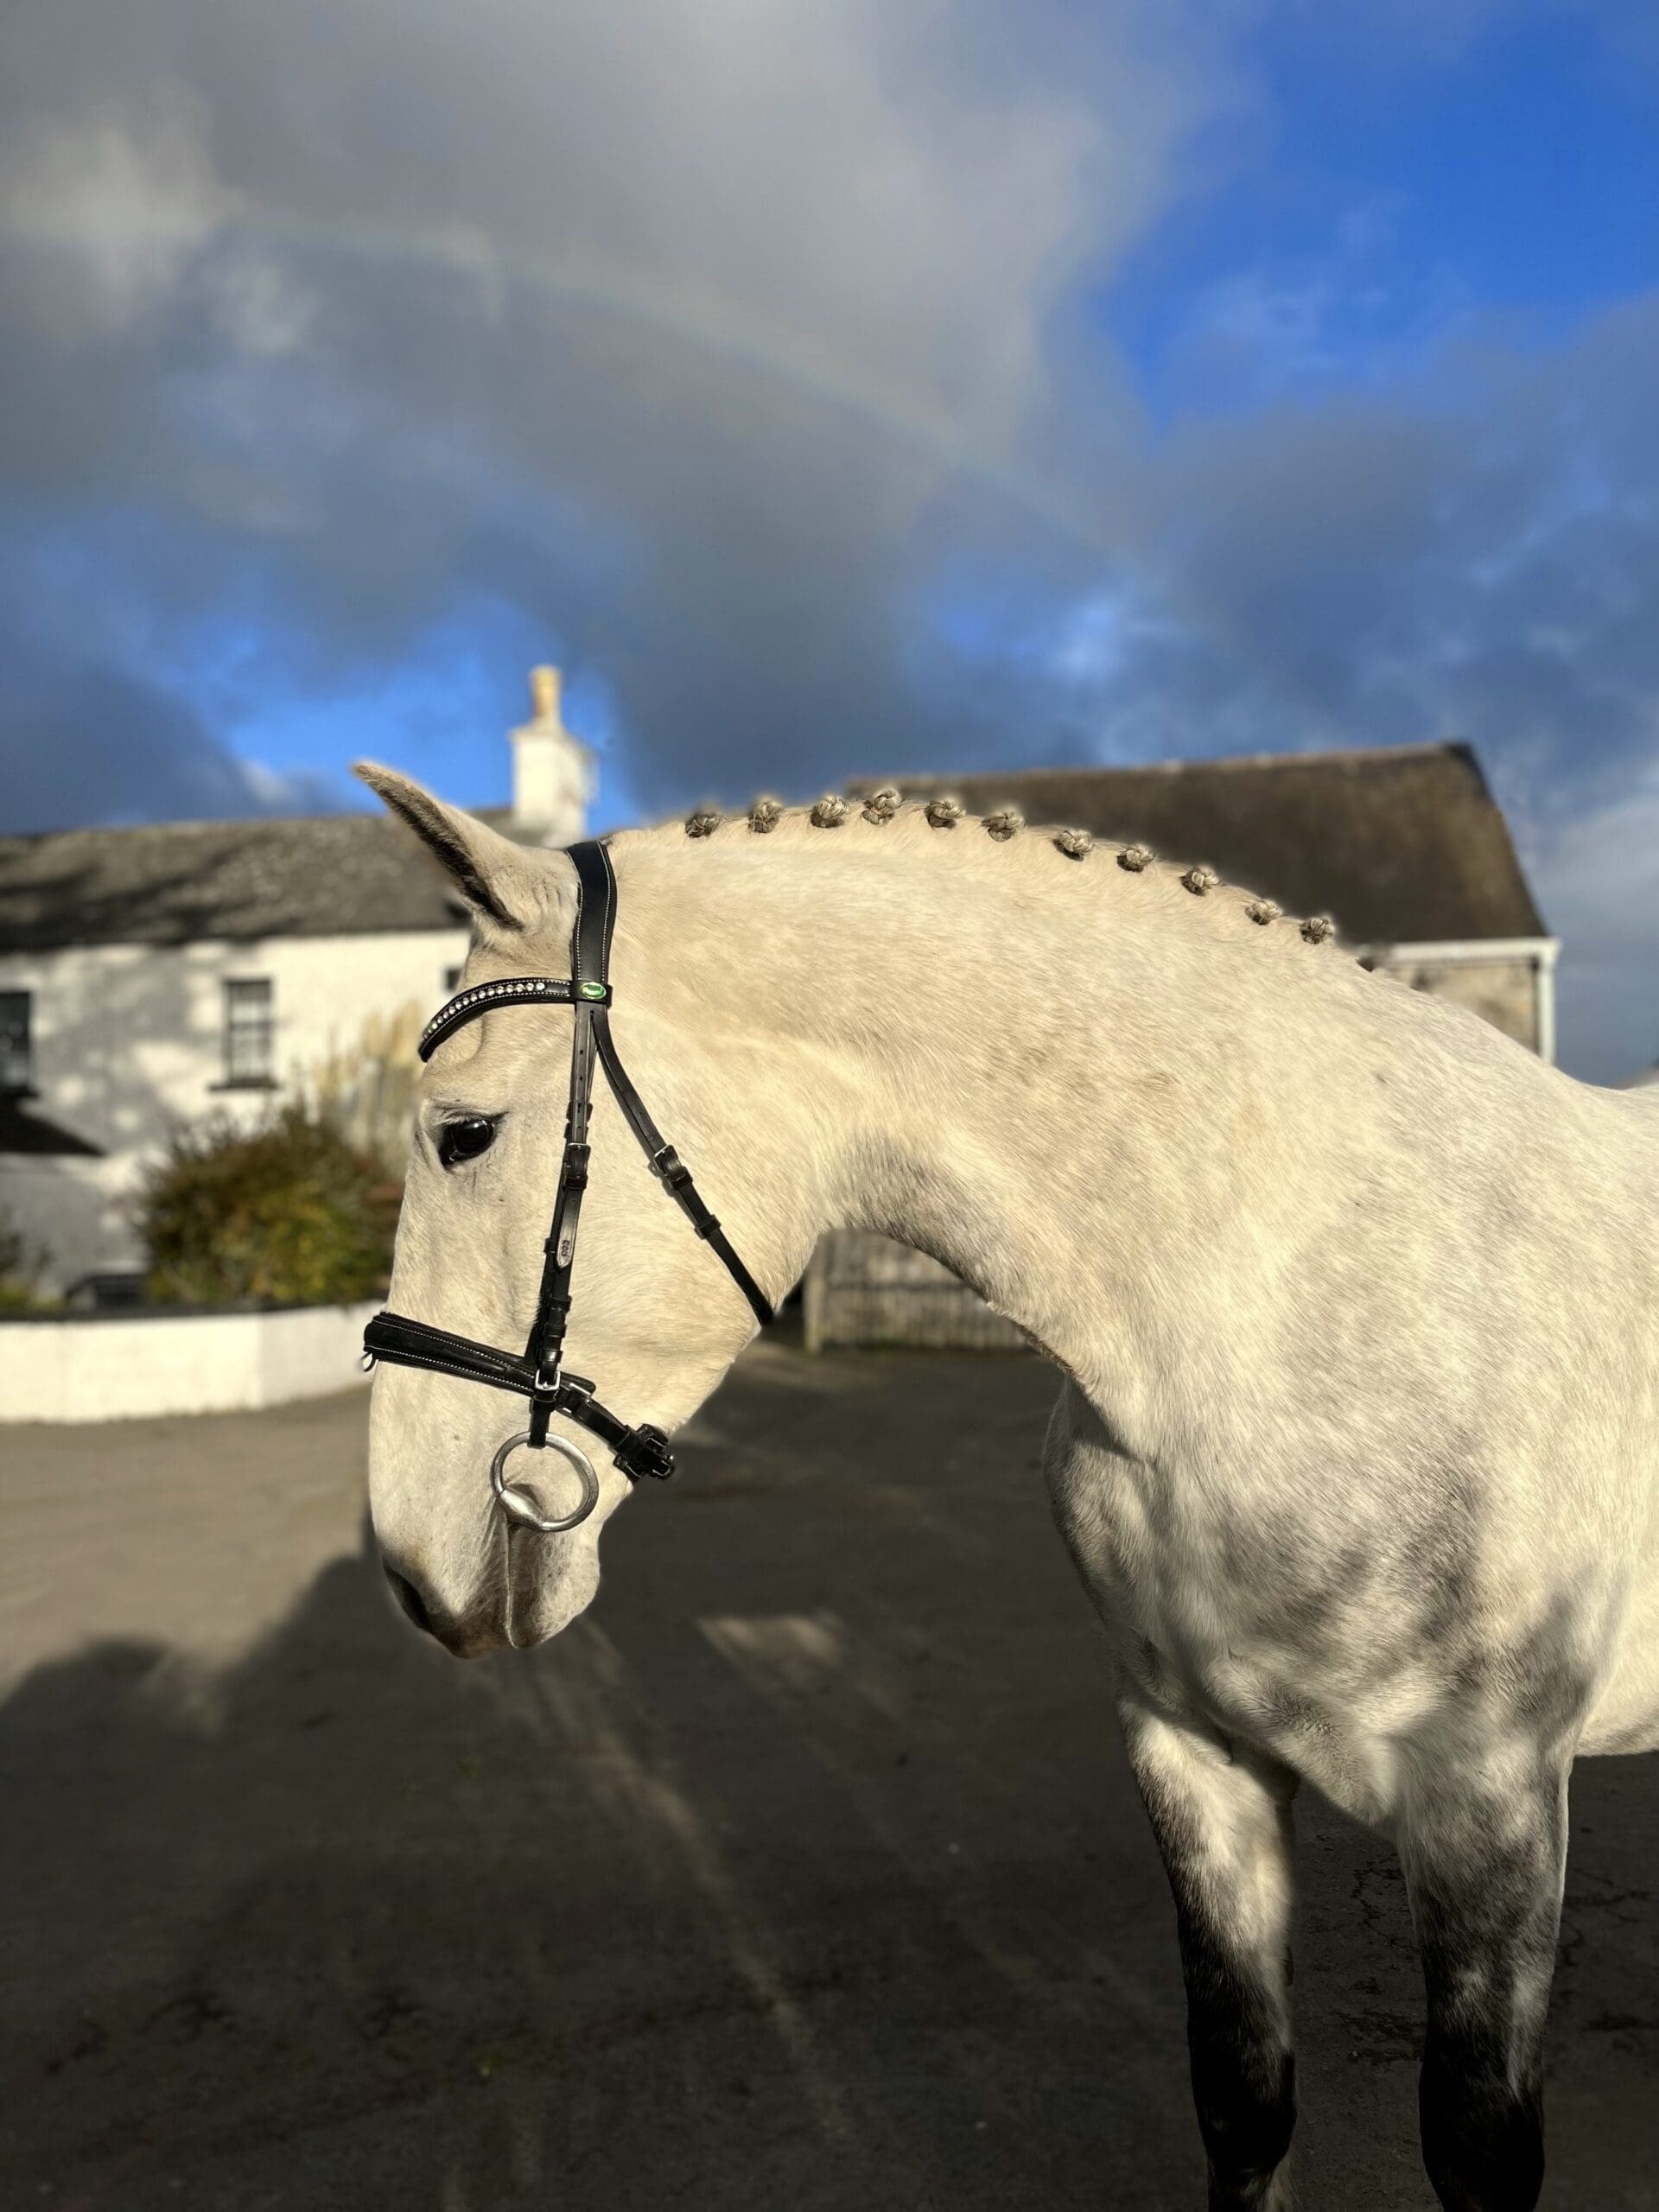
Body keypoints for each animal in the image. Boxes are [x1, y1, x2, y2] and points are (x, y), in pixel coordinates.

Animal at [356, 763, 1659, 2211]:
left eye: (464, 1135)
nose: (410, 1563)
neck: (1288, 1290)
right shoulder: (1194, 1754)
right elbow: (1245, 2098)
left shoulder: (1490, 1798)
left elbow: (1479, 2149)